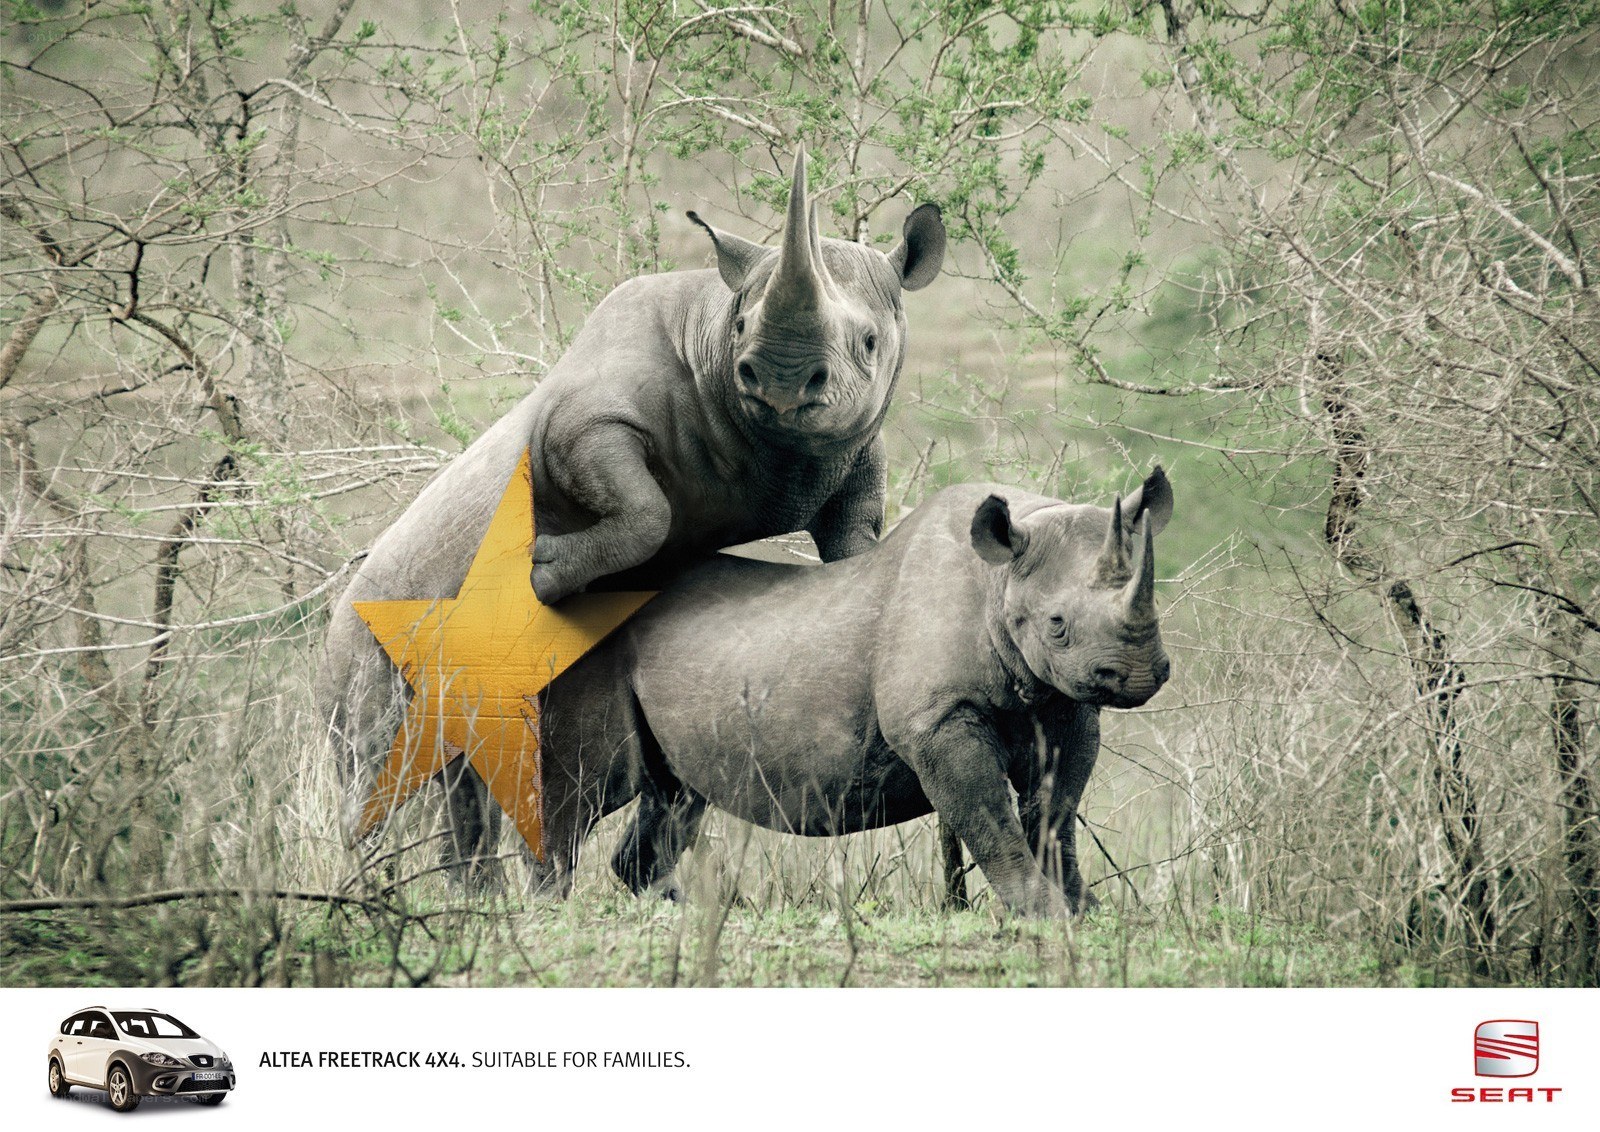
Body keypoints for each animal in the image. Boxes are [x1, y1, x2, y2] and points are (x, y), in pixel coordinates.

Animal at [318, 150, 947, 877]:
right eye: (740, 328)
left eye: (870, 341)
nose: (781, 386)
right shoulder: (579, 424)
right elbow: (647, 512)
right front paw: (543, 574)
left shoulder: (852, 456)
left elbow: (855, 549)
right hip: (362, 638)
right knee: (376, 774)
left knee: (463, 780)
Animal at [536, 469, 1175, 916]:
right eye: (1057, 625)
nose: (1139, 674)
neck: (1001, 576)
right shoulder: (936, 720)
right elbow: (988, 816)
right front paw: (1043, 914)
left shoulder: (1061, 706)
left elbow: (1053, 813)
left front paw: (1091, 912)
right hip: (585, 651)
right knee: (586, 784)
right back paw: (547, 909)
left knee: (674, 791)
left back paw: (691, 912)